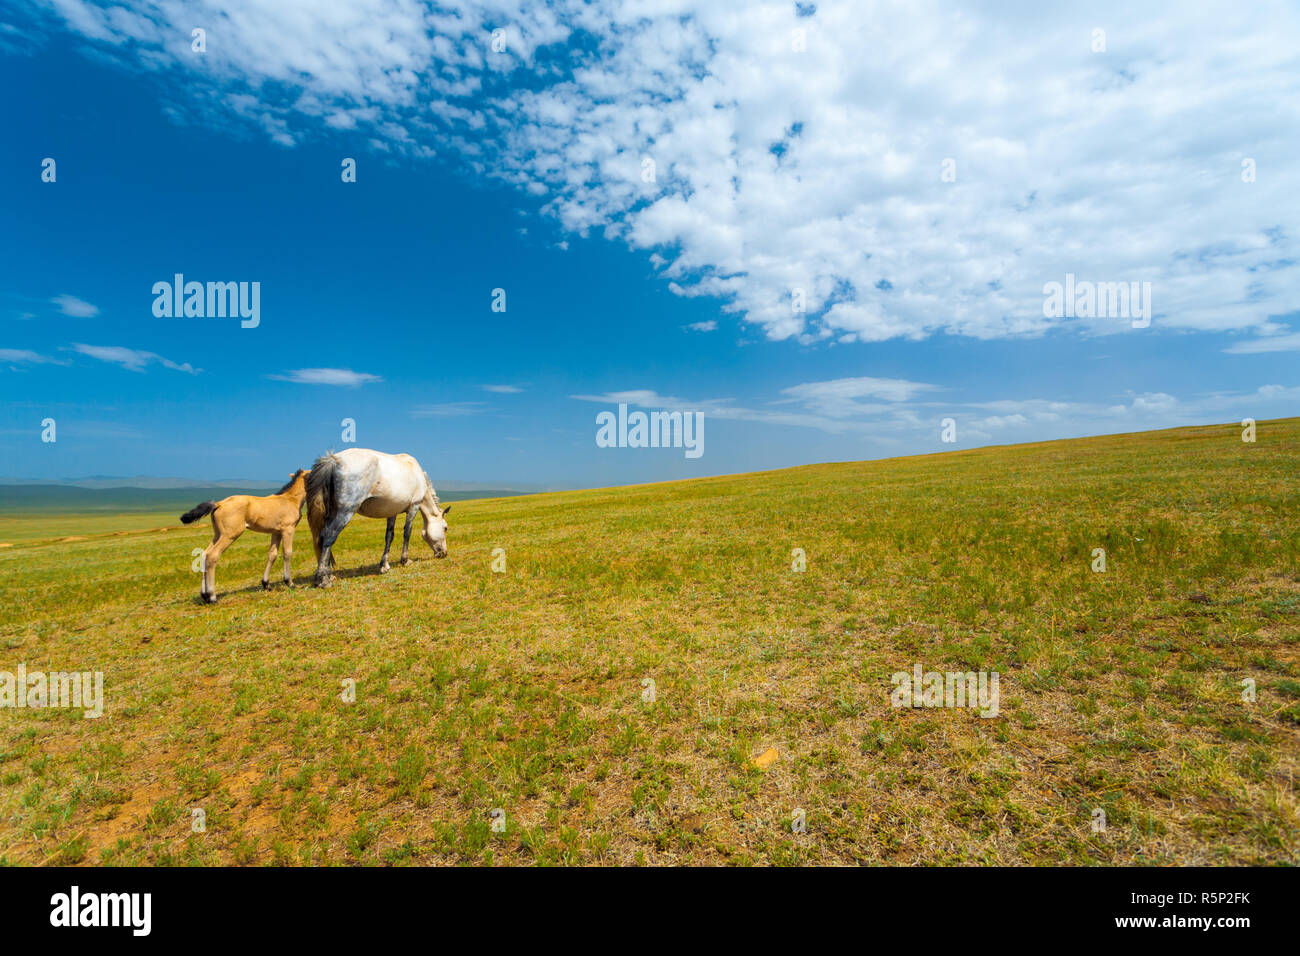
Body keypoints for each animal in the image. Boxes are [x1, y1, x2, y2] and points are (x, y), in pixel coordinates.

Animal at [179, 469, 308, 604]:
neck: (291, 499)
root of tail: (218, 504)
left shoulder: (276, 532)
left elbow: (272, 555)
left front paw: (266, 584)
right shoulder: (288, 530)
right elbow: (287, 553)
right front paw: (290, 582)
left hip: (218, 535)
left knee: (204, 554)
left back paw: (204, 596)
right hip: (230, 535)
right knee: (212, 556)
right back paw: (212, 596)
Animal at [305, 449, 451, 587]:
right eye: (445, 528)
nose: (444, 553)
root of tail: (334, 459)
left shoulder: (392, 512)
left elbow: (389, 536)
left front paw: (384, 565)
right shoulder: (413, 507)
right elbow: (407, 533)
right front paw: (405, 560)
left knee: (322, 536)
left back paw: (328, 575)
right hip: (345, 512)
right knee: (329, 536)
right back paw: (323, 579)